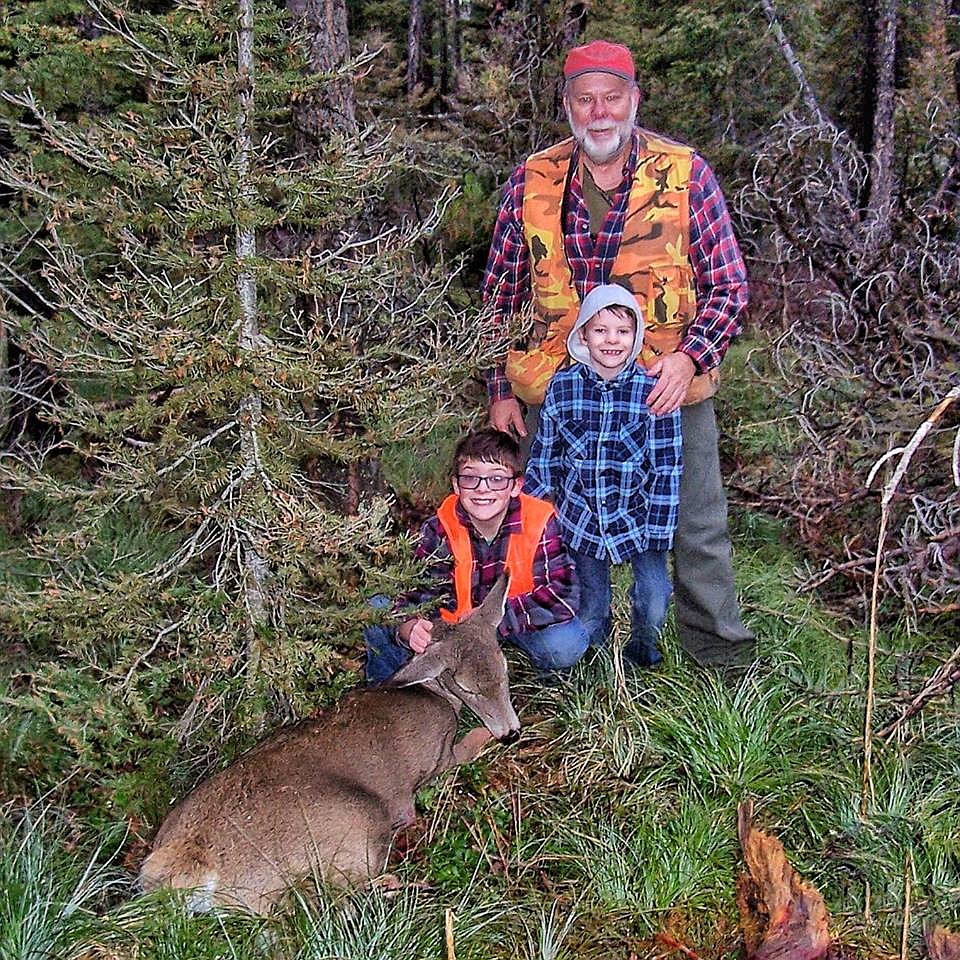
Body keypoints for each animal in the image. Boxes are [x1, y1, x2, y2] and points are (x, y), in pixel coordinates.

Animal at [139, 572, 520, 912]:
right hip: (359, 817)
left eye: (504, 669)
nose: (511, 732)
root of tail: (189, 863)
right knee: (330, 898)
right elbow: (470, 742)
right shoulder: (437, 759)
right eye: (468, 687)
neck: (432, 693)